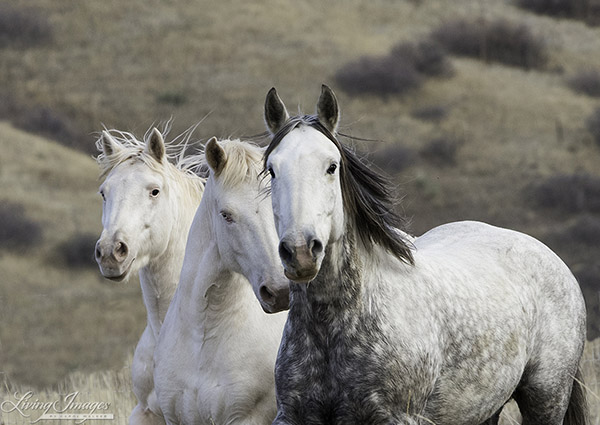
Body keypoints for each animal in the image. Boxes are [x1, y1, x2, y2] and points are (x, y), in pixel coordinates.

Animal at [262, 86, 584, 424]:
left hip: (546, 397)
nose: (300, 252)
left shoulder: (397, 417)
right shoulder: (293, 415)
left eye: (331, 166)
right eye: (272, 170)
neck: (336, 324)